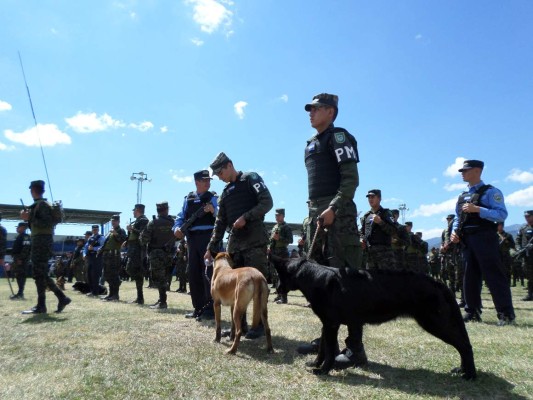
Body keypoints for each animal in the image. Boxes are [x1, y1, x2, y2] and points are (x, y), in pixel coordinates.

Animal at [272, 258, 476, 380]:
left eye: (279, 275)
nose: (277, 290)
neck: (314, 276)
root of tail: (438, 282)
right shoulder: (327, 325)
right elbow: (322, 349)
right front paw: (315, 364)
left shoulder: (331, 324)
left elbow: (329, 351)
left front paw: (323, 371)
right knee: (463, 345)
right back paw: (463, 370)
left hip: (435, 323)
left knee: (465, 346)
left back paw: (470, 375)